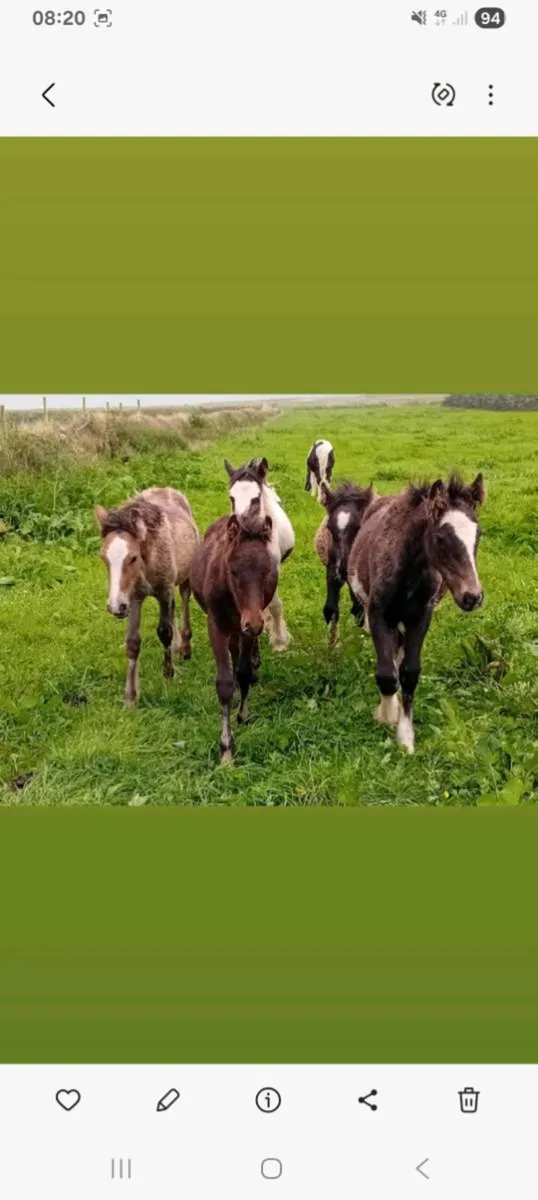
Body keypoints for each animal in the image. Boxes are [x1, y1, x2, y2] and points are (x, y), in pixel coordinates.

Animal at [95, 487, 200, 706]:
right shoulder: (134, 598)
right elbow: (132, 643)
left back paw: (185, 647)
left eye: (132, 558)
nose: (115, 606)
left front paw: (168, 674)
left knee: (184, 599)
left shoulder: (163, 591)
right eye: (103, 557)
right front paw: (130, 697)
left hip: (185, 577)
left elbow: (164, 632)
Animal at [189, 510, 279, 763]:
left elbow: (244, 672)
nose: (254, 623)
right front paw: (226, 750)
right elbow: (224, 683)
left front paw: (243, 714)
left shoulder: (247, 627)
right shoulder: (217, 625)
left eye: (267, 571)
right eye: (233, 571)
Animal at [224, 456, 294, 651]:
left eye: (255, 498)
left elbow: (276, 606)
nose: (238, 530)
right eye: (232, 498)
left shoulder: (272, 570)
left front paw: (279, 642)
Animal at [313, 481, 376, 647]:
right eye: (329, 528)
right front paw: (333, 645)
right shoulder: (331, 570)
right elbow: (330, 609)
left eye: (358, 527)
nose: (343, 570)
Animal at [348, 473, 486, 754]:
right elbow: (387, 675)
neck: (407, 573)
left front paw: (406, 737)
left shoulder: (421, 618)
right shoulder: (378, 615)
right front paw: (387, 715)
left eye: (478, 534)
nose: (472, 597)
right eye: (441, 537)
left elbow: (409, 673)